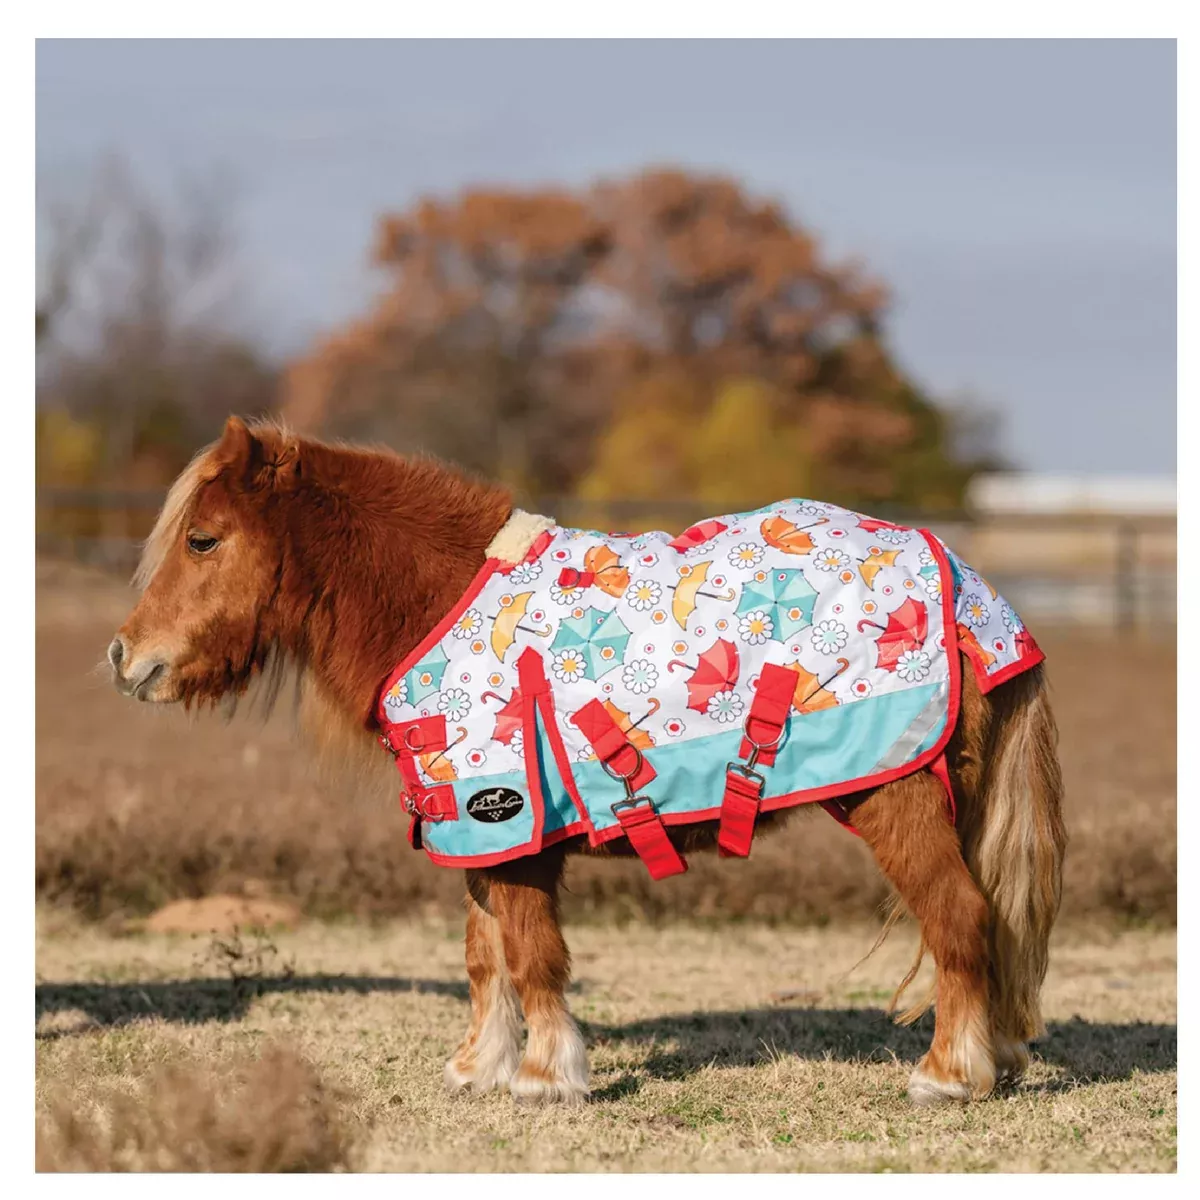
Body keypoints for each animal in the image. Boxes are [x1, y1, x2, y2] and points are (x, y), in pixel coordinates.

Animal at [108, 416, 1066, 1106]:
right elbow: (485, 956)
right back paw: (995, 1058)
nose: (125, 657)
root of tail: (962, 577)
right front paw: (480, 1068)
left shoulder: (512, 825)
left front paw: (545, 1077)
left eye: (202, 540)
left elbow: (533, 955)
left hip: (894, 800)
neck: (439, 600)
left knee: (959, 918)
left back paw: (949, 1075)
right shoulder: (481, 833)